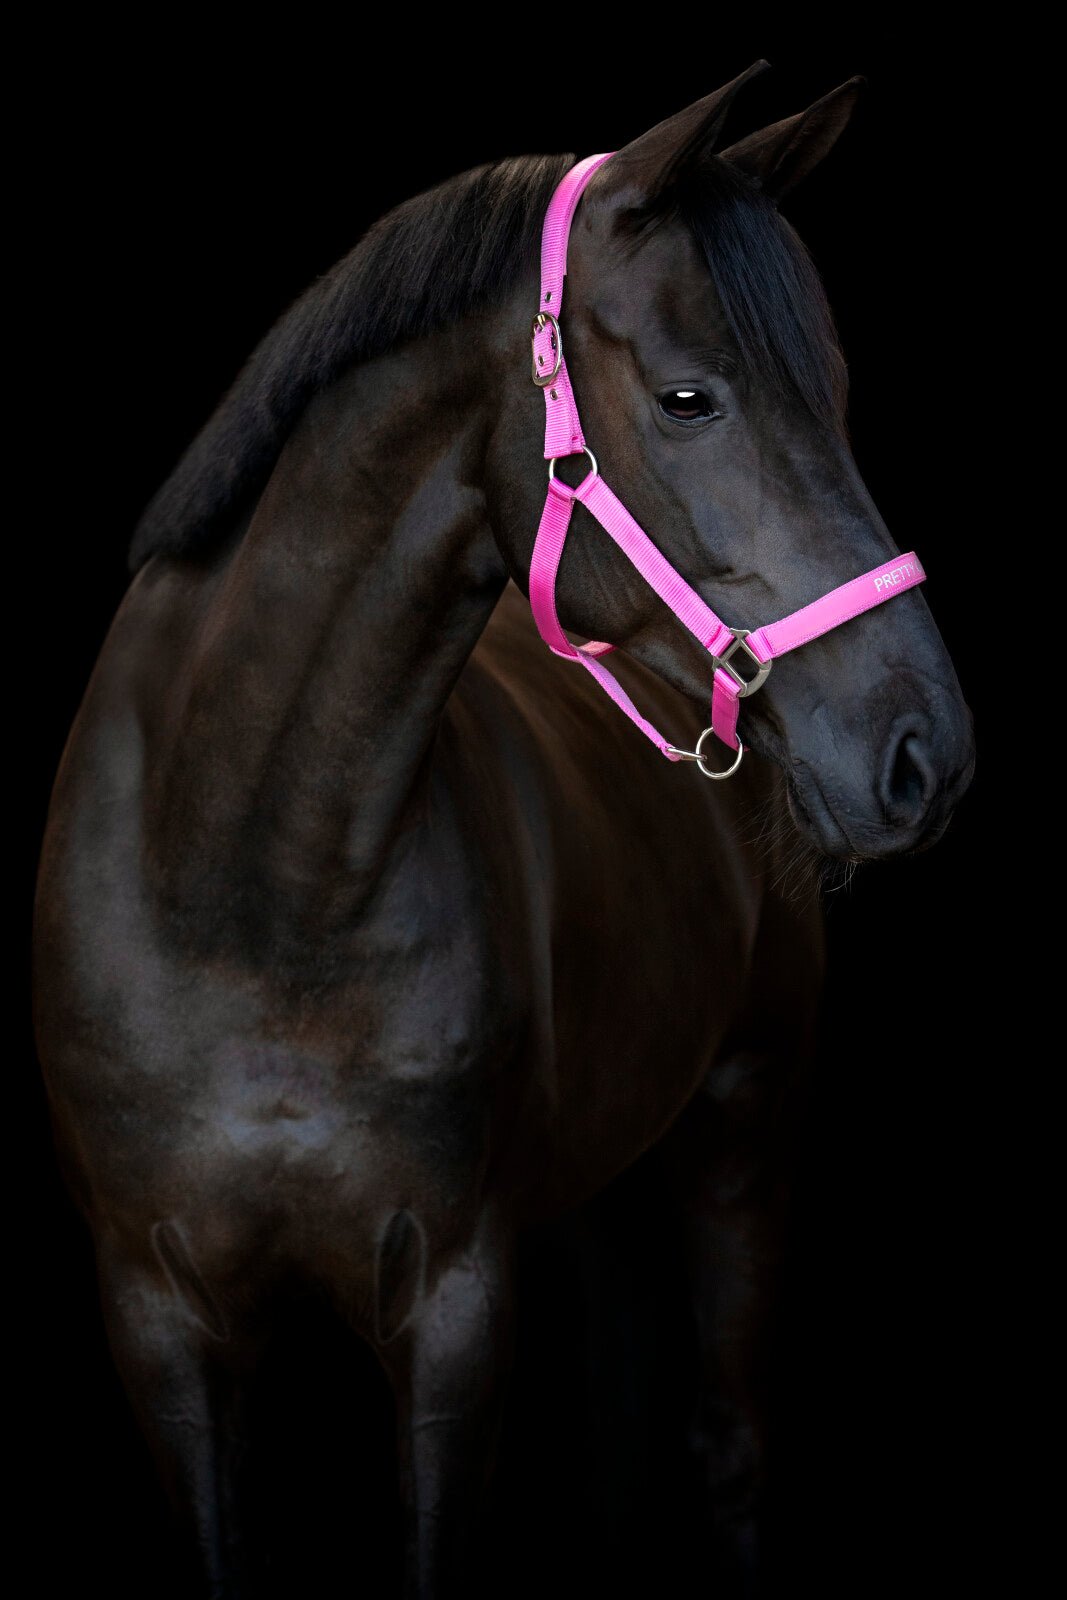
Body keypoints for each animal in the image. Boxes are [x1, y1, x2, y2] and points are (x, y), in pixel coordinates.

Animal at [32, 62, 974, 1597]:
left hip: (746, 1120)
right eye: (688, 397)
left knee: (723, 1442)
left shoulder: (456, 1309)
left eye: (833, 391)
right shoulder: (157, 1319)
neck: (244, 889)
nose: (922, 754)